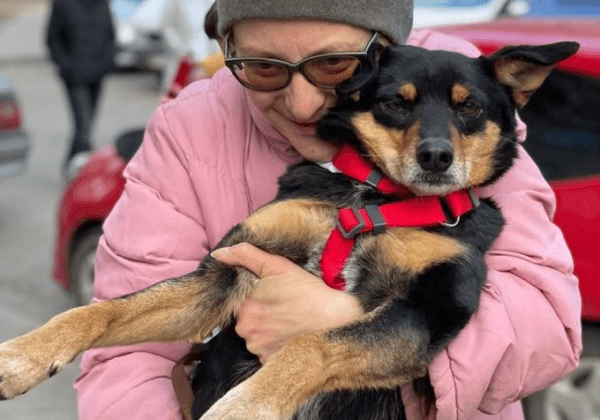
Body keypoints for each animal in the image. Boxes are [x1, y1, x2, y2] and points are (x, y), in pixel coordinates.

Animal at [0, 40, 580, 420]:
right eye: (395, 102)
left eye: (470, 107)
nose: (436, 157)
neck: (373, 200)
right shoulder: (226, 270)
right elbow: (104, 310)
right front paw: (24, 355)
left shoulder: (428, 309)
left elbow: (311, 343)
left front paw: (246, 407)